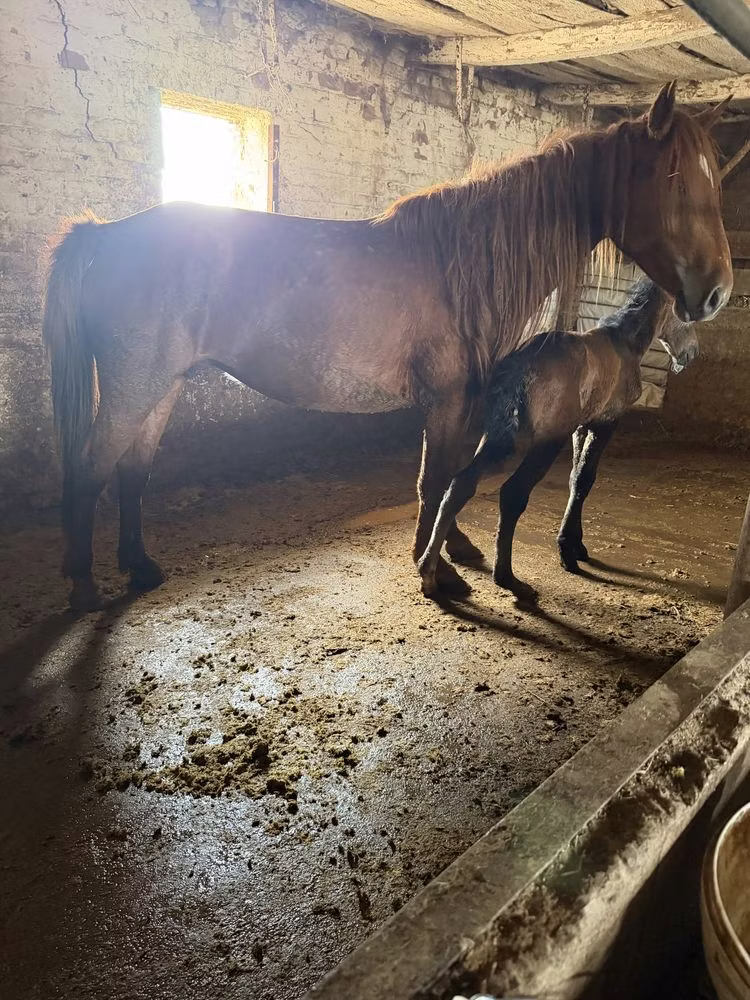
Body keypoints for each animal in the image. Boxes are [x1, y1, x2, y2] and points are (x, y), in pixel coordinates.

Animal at [417, 279, 698, 601]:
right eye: (689, 314)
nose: (692, 353)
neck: (624, 342)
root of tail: (520, 365)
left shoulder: (580, 427)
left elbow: (576, 480)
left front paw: (576, 545)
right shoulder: (605, 423)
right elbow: (585, 479)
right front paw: (567, 552)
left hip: (497, 438)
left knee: (460, 485)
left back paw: (429, 571)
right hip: (544, 444)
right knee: (512, 493)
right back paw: (508, 578)